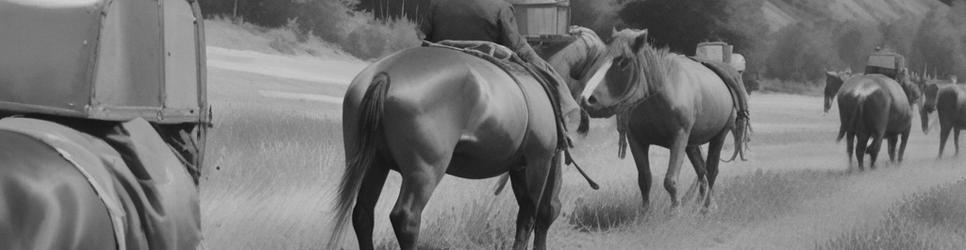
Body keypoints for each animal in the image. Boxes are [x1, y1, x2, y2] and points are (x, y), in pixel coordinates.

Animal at [332, 27, 604, 250]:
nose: (591, 102)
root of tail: (385, 75)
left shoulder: (520, 167)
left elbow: (535, 211)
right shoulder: (539, 161)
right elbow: (531, 215)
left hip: (373, 164)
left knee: (363, 215)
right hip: (424, 172)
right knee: (405, 218)